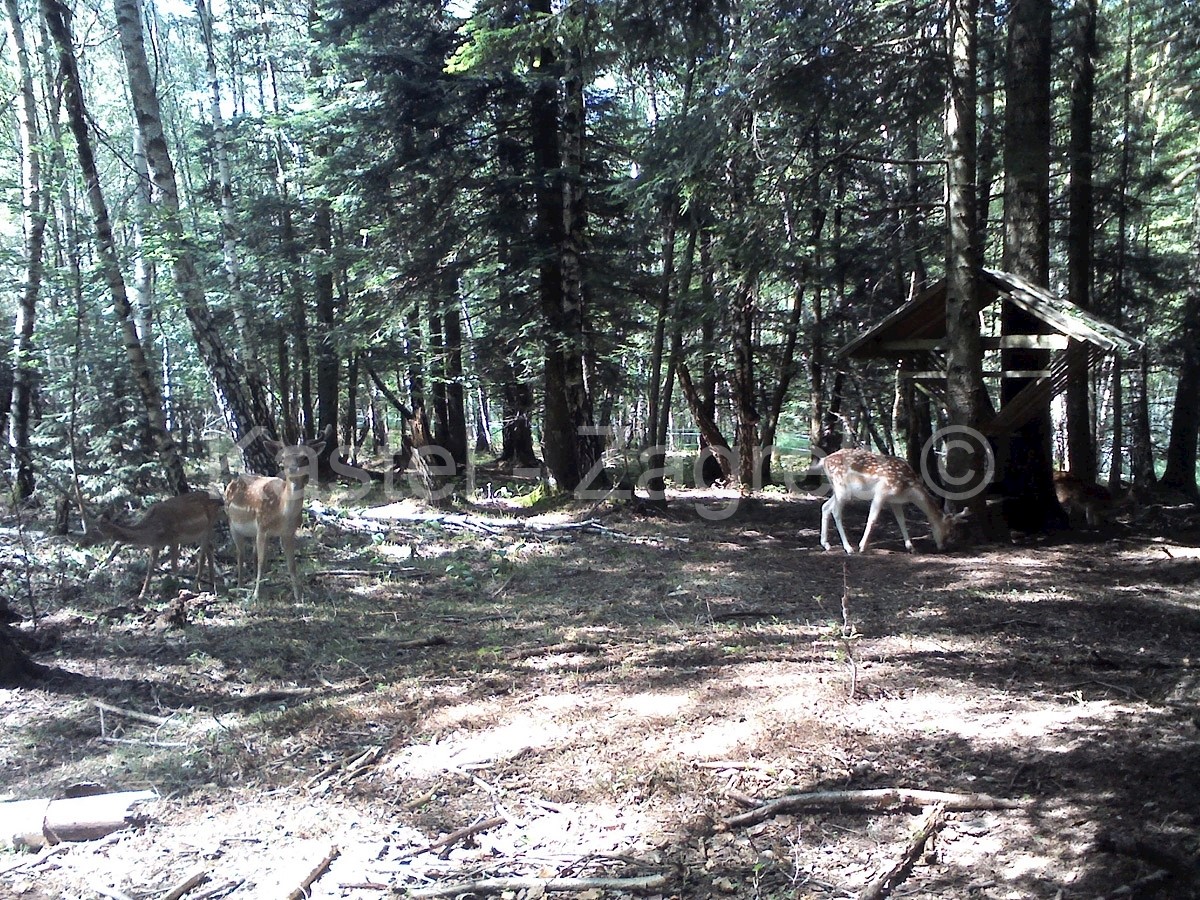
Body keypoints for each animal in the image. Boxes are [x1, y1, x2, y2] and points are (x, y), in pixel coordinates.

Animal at [96, 494, 225, 600]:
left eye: (96, 528)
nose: (88, 541)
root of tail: (220, 501)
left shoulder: (174, 539)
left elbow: (173, 565)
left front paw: (177, 588)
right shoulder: (155, 545)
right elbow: (150, 568)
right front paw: (141, 595)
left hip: (208, 526)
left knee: (202, 555)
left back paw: (196, 587)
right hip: (199, 534)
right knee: (210, 548)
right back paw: (212, 583)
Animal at [223, 434, 326, 602]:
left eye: (304, 457)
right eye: (283, 457)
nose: (292, 468)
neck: (282, 513)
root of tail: (233, 481)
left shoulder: (288, 533)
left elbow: (292, 564)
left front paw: (298, 598)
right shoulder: (262, 527)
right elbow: (262, 562)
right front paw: (256, 596)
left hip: (252, 532)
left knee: (252, 555)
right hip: (233, 524)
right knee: (240, 555)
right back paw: (239, 587)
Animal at [806, 448, 964, 554]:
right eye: (949, 529)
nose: (943, 547)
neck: (908, 489)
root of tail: (824, 460)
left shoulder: (895, 501)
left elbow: (901, 521)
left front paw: (911, 547)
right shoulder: (882, 492)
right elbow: (872, 519)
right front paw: (862, 546)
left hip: (838, 490)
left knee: (825, 506)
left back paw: (826, 544)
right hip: (841, 488)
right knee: (835, 511)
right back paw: (849, 548)